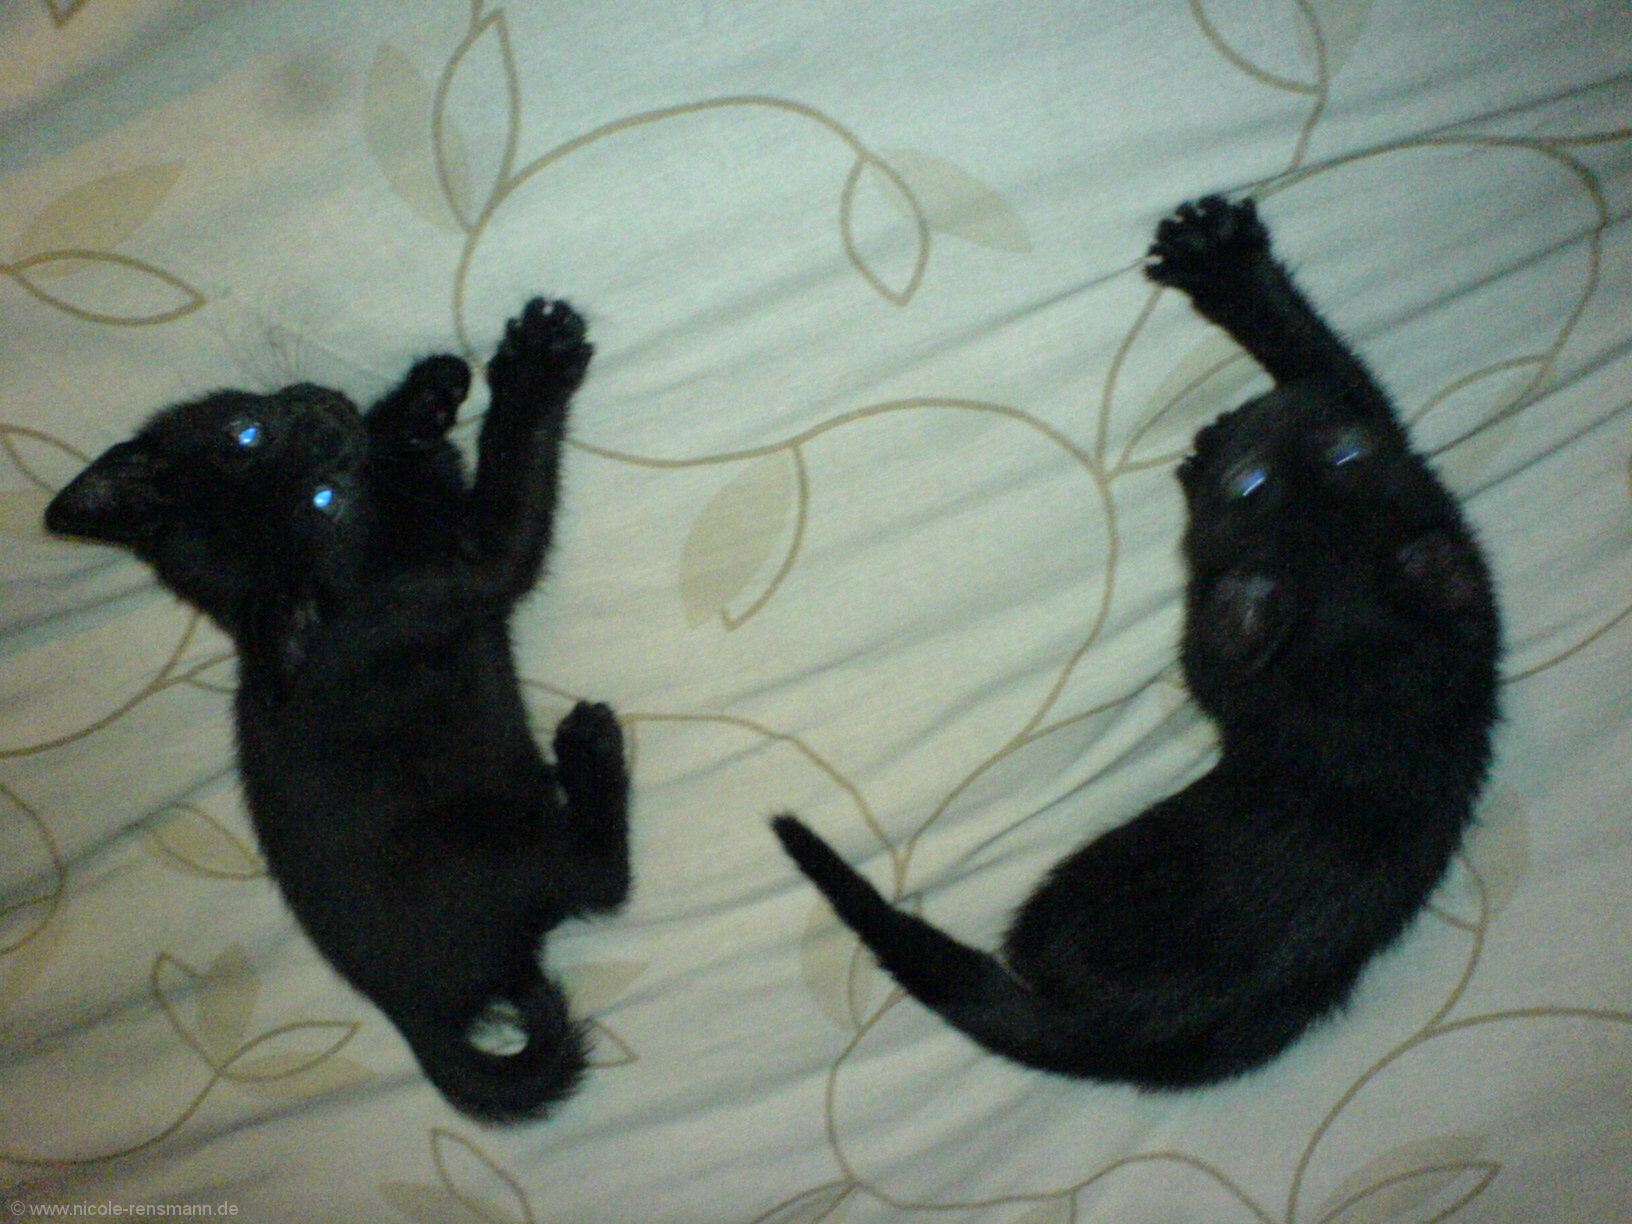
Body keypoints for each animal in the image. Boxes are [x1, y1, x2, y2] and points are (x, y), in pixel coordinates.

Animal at [45, 298, 631, 1123]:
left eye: (245, 433)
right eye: (324, 503)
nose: (325, 431)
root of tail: (413, 1013)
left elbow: (405, 436)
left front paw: (423, 397)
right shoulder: (468, 569)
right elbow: (512, 482)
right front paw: (533, 362)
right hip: (508, 844)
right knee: (600, 882)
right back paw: (591, 751)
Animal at [773, 196, 1501, 1086]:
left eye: (1256, 481)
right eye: (1342, 452)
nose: (1290, 412)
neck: (1365, 653)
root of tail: (1115, 1039)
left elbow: (1324, 363)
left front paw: (1212, 272)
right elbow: (1326, 354)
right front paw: (1222, 253)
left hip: (1081, 889)